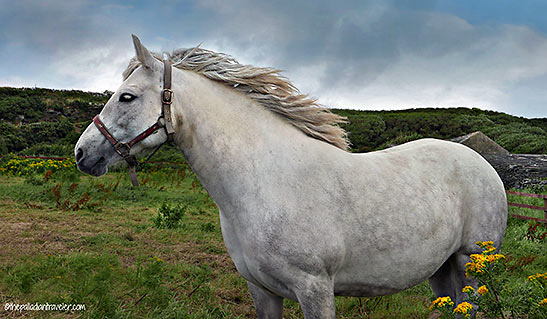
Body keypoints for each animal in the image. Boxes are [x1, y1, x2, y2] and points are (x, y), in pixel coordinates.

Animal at [75, 36, 508, 318]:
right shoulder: (263, 291)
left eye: (127, 97)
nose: (82, 154)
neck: (266, 184)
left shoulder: (315, 290)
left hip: (470, 263)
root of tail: (482, 163)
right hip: (441, 269)